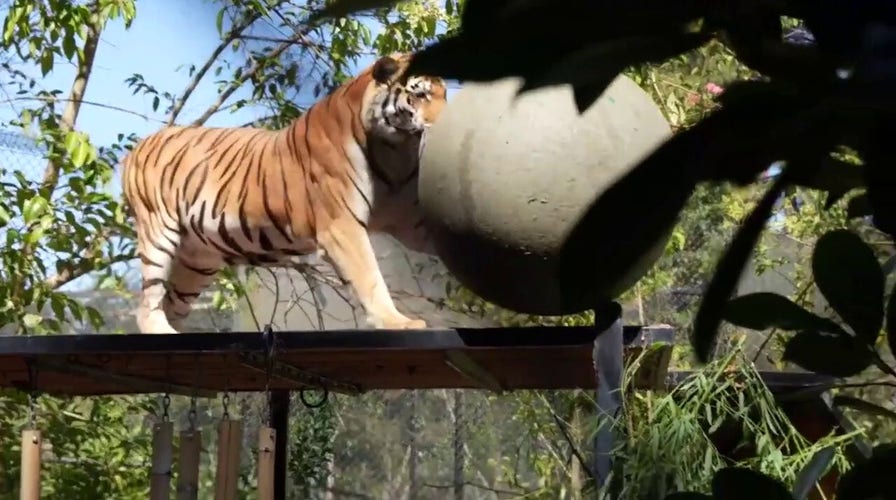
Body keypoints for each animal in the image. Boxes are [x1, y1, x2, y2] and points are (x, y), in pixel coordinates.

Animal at [121, 52, 448, 334]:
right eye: (420, 95)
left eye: (444, 94)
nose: (446, 124)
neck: (395, 150)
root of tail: (139, 144)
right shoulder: (341, 226)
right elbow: (370, 277)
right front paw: (396, 322)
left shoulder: (412, 222)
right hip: (159, 234)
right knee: (147, 305)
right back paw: (161, 330)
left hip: (197, 261)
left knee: (170, 303)